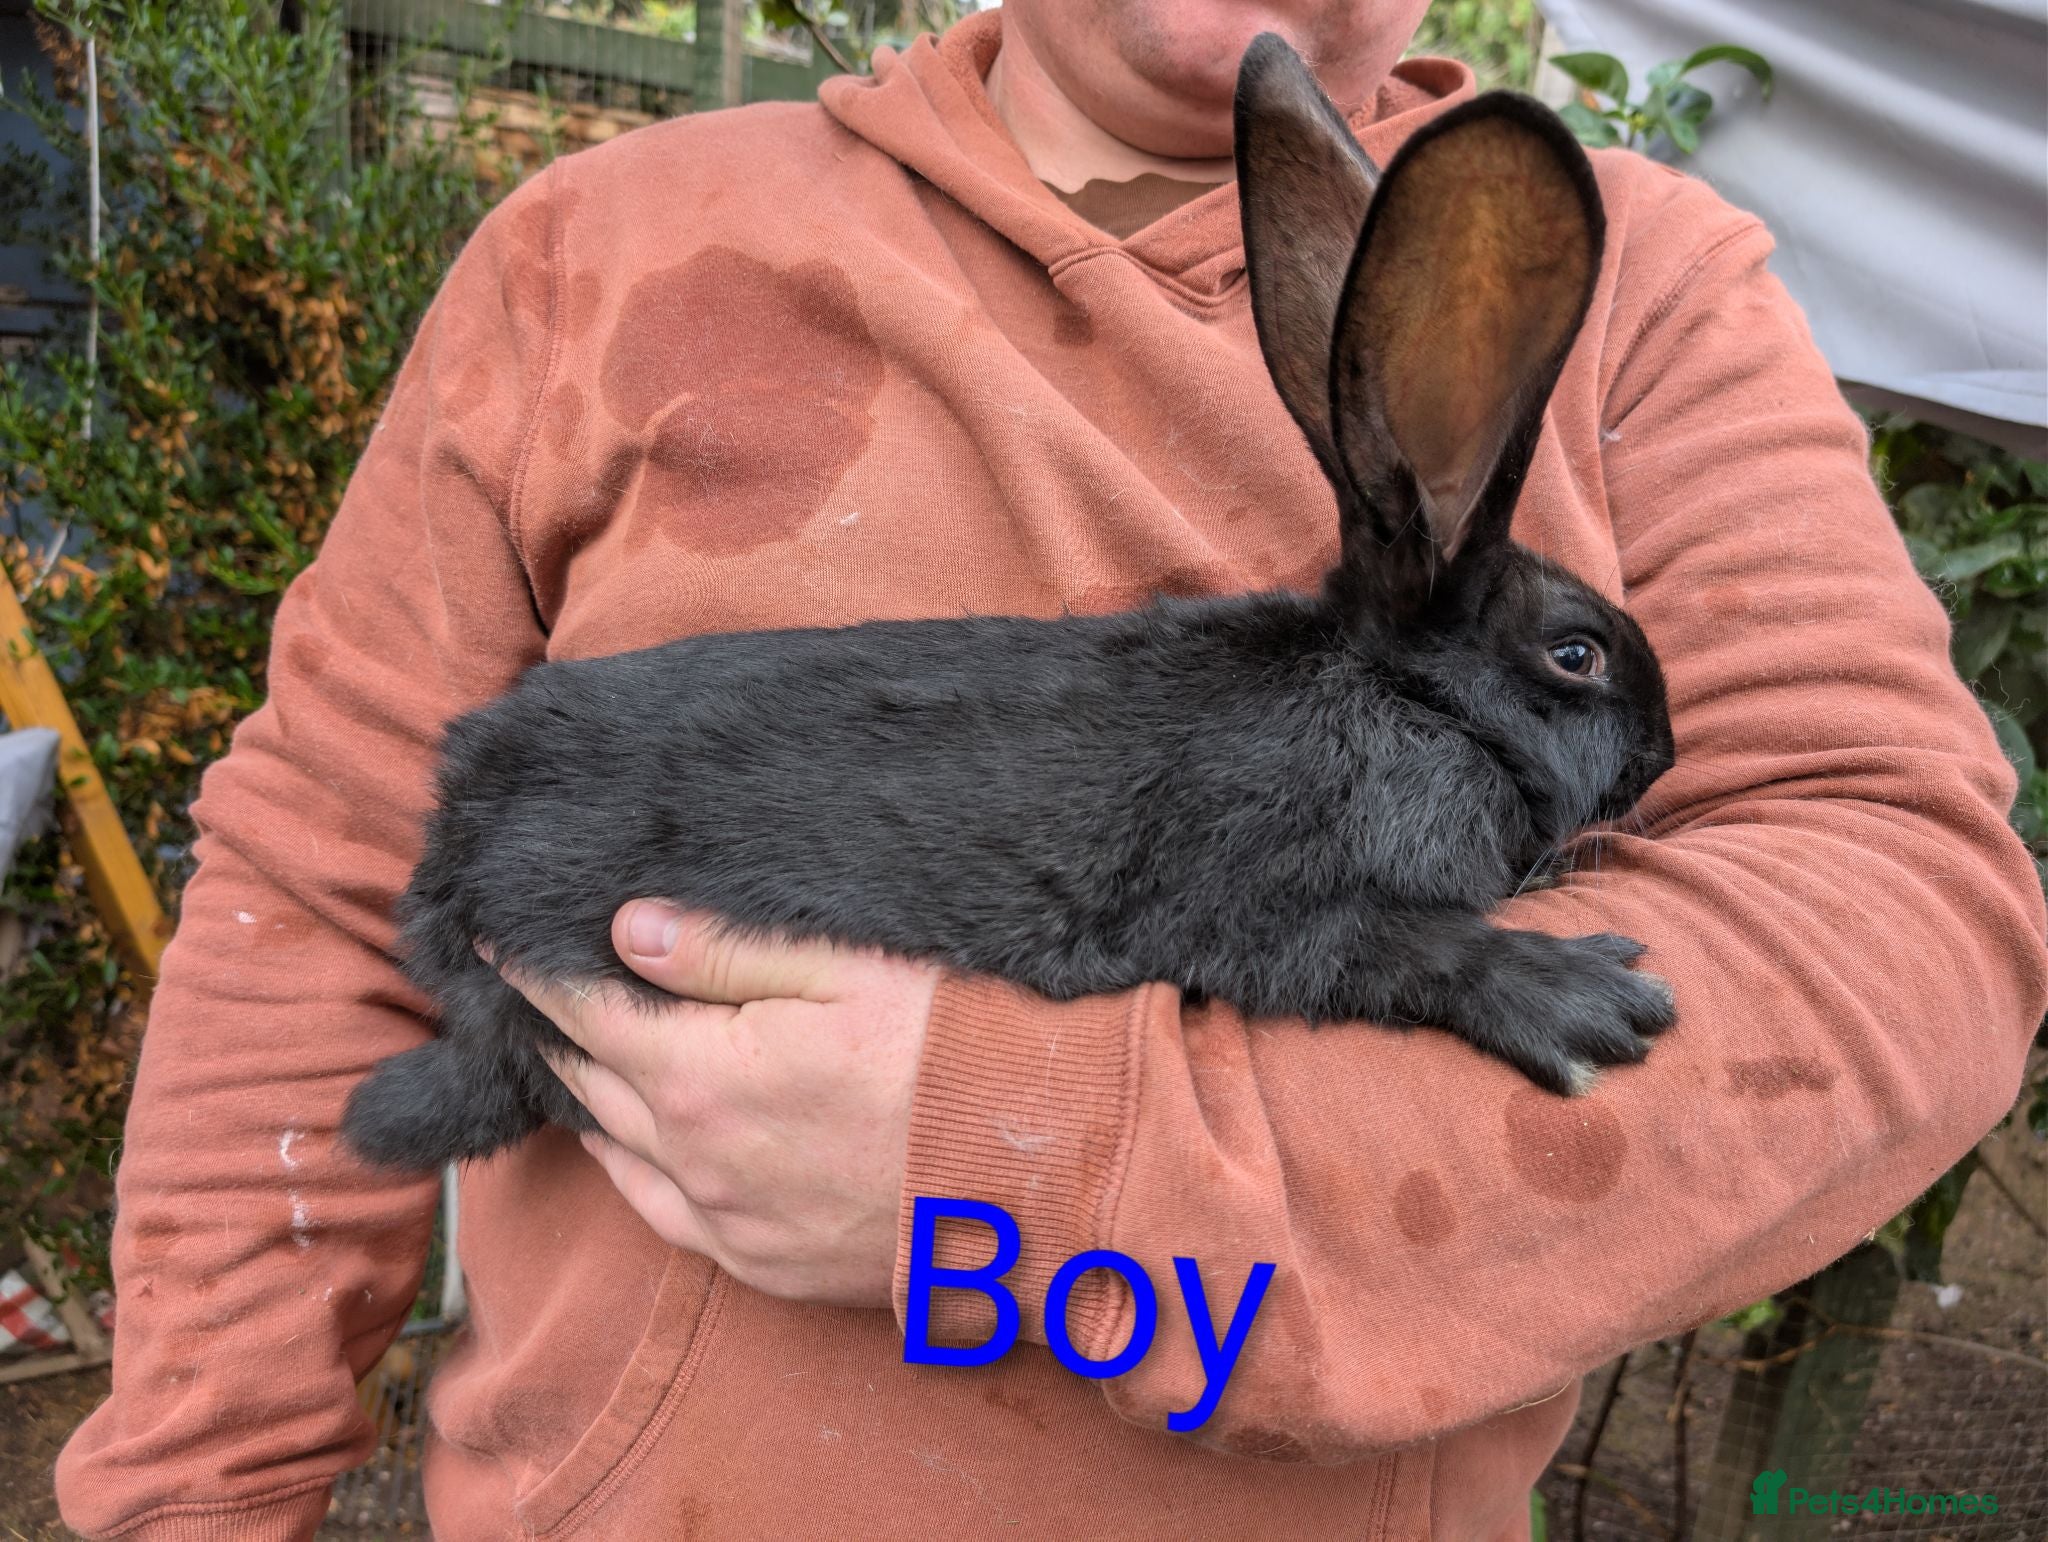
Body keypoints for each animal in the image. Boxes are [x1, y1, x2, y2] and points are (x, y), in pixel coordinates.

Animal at [339, 33, 1676, 1174]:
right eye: (1575, 656)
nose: (1662, 755)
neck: (1407, 704)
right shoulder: (1266, 904)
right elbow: (1397, 951)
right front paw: (1588, 999)